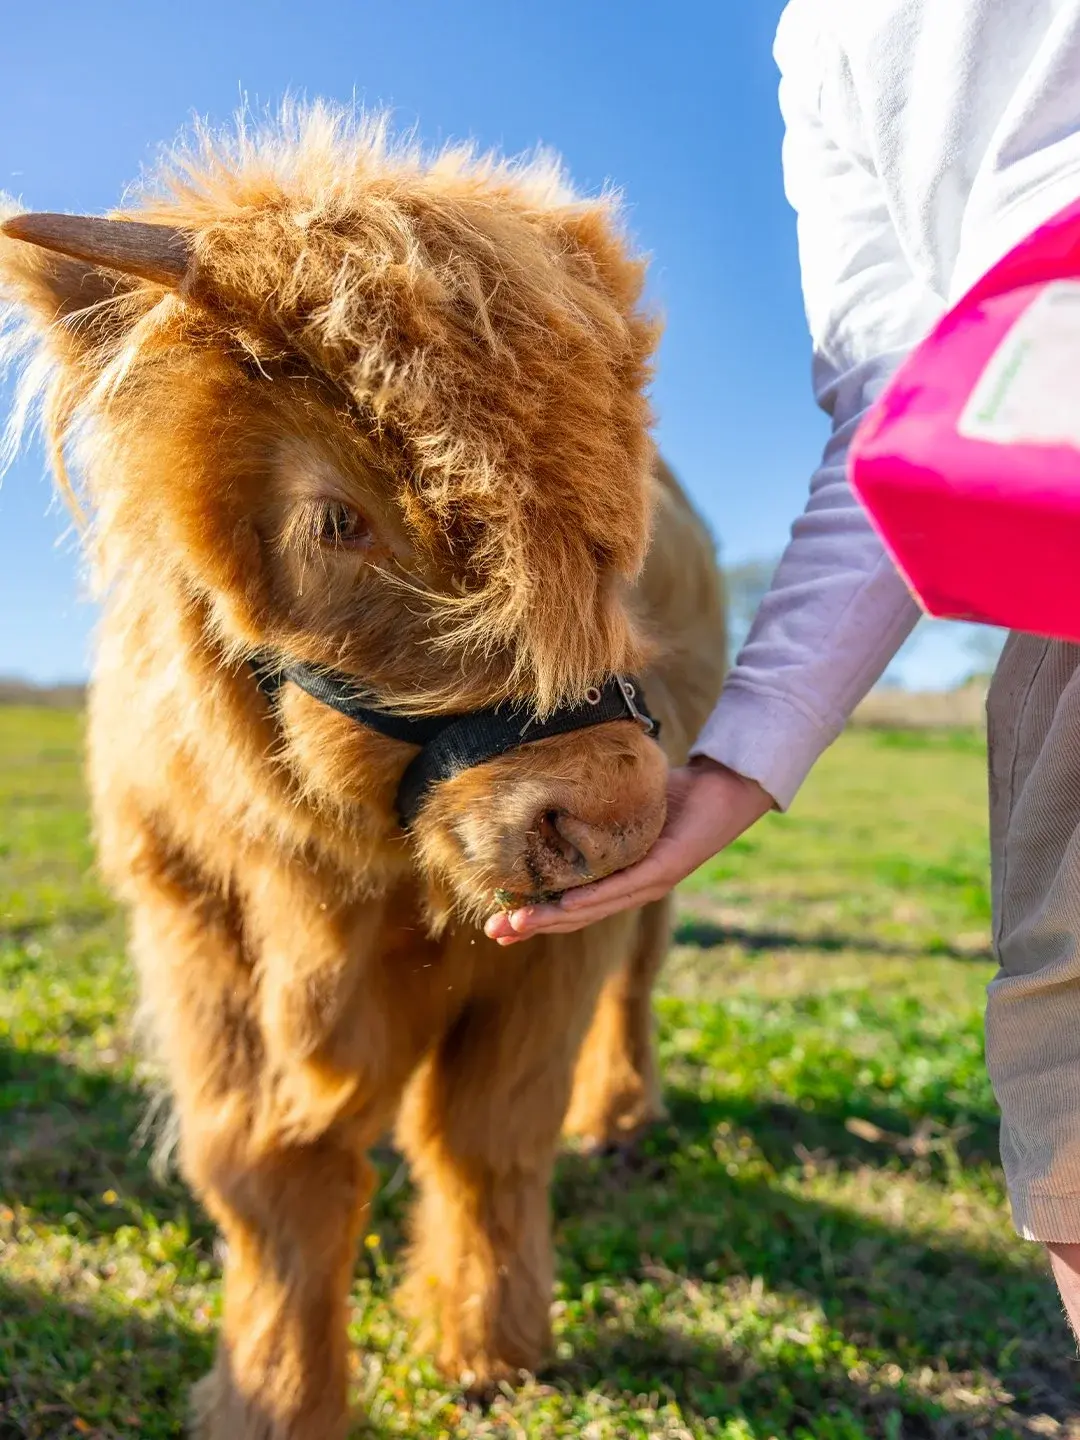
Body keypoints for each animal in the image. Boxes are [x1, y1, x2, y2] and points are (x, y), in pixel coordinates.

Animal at [0, 108, 726, 1439]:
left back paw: (619, 1115)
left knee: (640, 983)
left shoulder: (558, 947)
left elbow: (487, 1137)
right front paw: (272, 1397)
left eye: (614, 532)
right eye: (337, 517)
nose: (605, 817)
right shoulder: (189, 909)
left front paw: (490, 1348)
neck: (337, 884)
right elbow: (269, 1173)